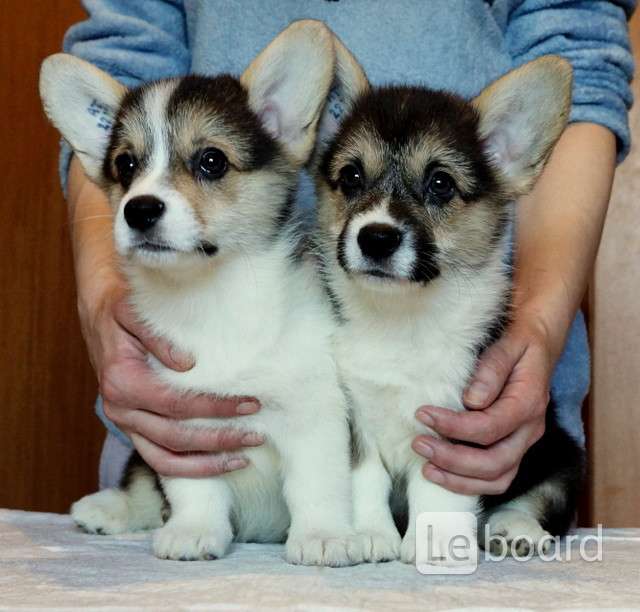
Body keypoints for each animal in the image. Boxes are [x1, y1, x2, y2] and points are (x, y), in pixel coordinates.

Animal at [40, 20, 364, 568]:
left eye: (211, 161)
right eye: (126, 166)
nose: (139, 210)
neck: (213, 297)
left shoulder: (314, 414)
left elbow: (317, 485)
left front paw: (323, 536)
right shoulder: (181, 425)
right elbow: (193, 490)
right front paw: (193, 532)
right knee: (143, 482)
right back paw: (109, 508)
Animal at [314, 35, 584, 568]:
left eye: (440, 183)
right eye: (351, 177)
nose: (376, 238)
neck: (401, 317)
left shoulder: (456, 425)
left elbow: (437, 491)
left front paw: (436, 542)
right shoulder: (354, 416)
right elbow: (365, 480)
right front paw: (370, 535)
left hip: (558, 452)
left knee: (538, 501)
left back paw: (514, 529)